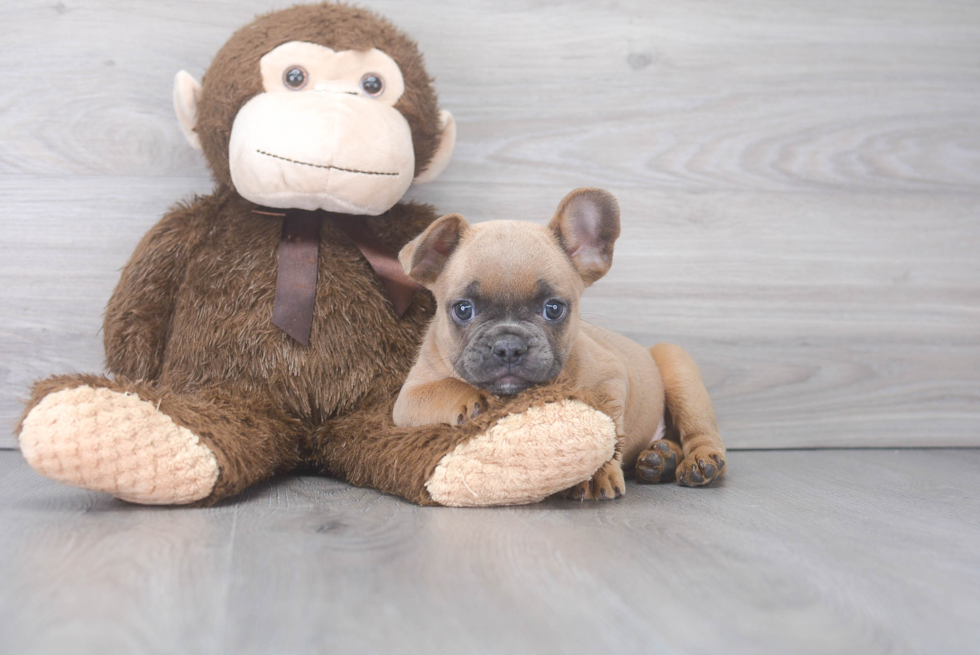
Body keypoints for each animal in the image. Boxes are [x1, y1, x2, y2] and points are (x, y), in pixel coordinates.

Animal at [394, 190, 724, 502]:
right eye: (463, 309)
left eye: (553, 309)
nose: (509, 346)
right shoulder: (408, 400)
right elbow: (444, 388)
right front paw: (475, 400)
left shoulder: (610, 378)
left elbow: (607, 432)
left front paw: (596, 473)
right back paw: (661, 458)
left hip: (678, 369)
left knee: (699, 430)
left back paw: (698, 461)